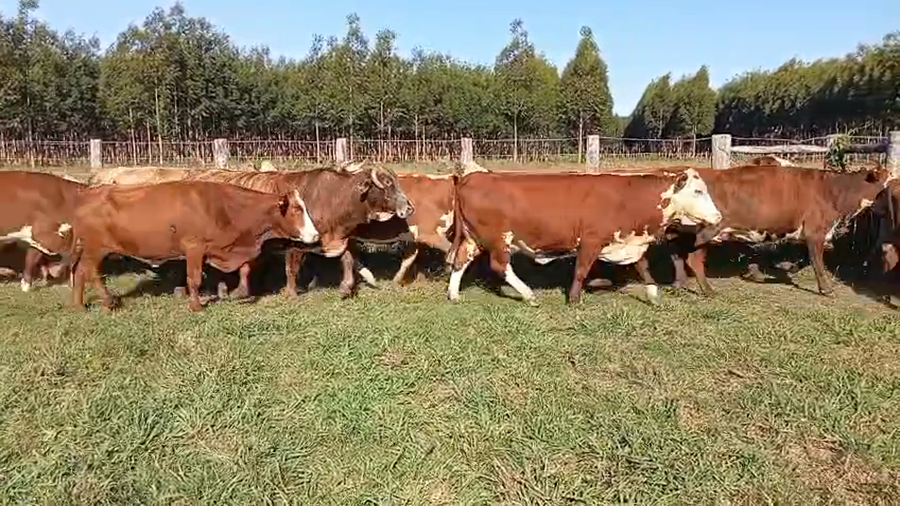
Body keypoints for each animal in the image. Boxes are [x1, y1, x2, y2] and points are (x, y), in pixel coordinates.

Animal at [65, 180, 320, 312]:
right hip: (95, 249)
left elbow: (245, 268)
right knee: (90, 273)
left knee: (80, 272)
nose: (315, 235)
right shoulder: (194, 248)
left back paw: (79, 306)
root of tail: (88, 193)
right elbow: (194, 279)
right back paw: (108, 301)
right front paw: (197, 306)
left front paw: (237, 292)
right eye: (296, 209)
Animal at [181, 163, 414, 298]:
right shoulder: (297, 242)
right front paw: (291, 293)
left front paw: (346, 287)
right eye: (387, 183)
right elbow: (291, 268)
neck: (333, 198)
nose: (409, 207)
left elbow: (348, 259)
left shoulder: (340, 239)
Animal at [445, 168, 723, 305]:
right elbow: (580, 270)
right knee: (500, 266)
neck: (629, 199)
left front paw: (654, 296)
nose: (719, 216)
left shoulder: (629, 241)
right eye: (698, 191)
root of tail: (470, 178)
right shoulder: (590, 240)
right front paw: (574, 299)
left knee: (460, 262)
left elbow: (644, 268)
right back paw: (529, 295)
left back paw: (454, 295)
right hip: (497, 239)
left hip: (473, 238)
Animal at [668, 164, 890, 296]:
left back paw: (679, 284)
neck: (835, 191)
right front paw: (826, 289)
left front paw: (783, 268)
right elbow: (817, 262)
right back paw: (707, 290)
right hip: (706, 230)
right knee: (692, 258)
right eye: (888, 185)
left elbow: (805, 258)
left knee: (676, 254)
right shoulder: (816, 231)